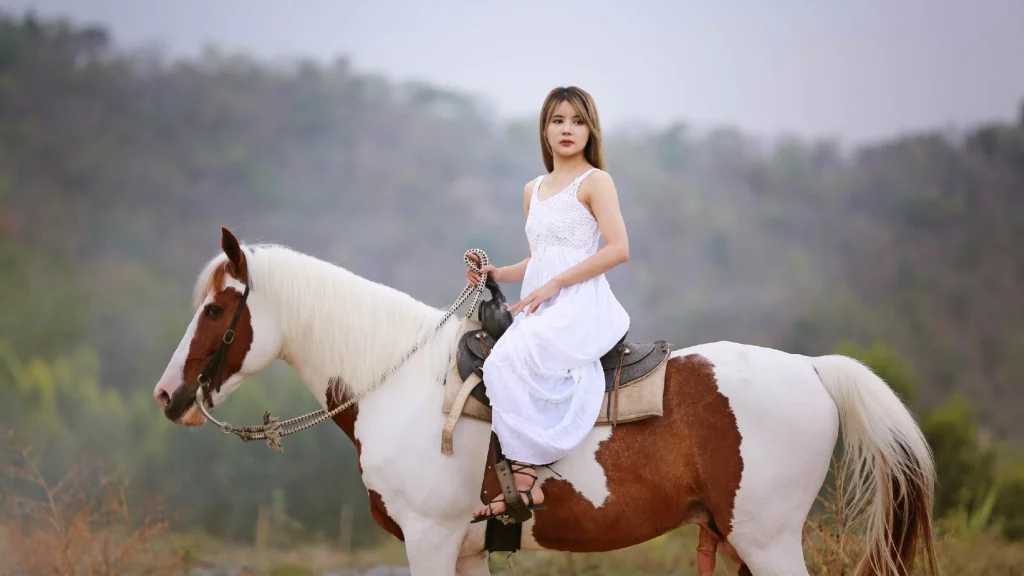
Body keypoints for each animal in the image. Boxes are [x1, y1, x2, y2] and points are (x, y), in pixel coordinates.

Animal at [149, 228, 937, 573]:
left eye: (216, 310)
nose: (167, 395)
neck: (400, 381)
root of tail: (812, 370)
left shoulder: (430, 541)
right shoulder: (464, 551)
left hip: (768, 538)